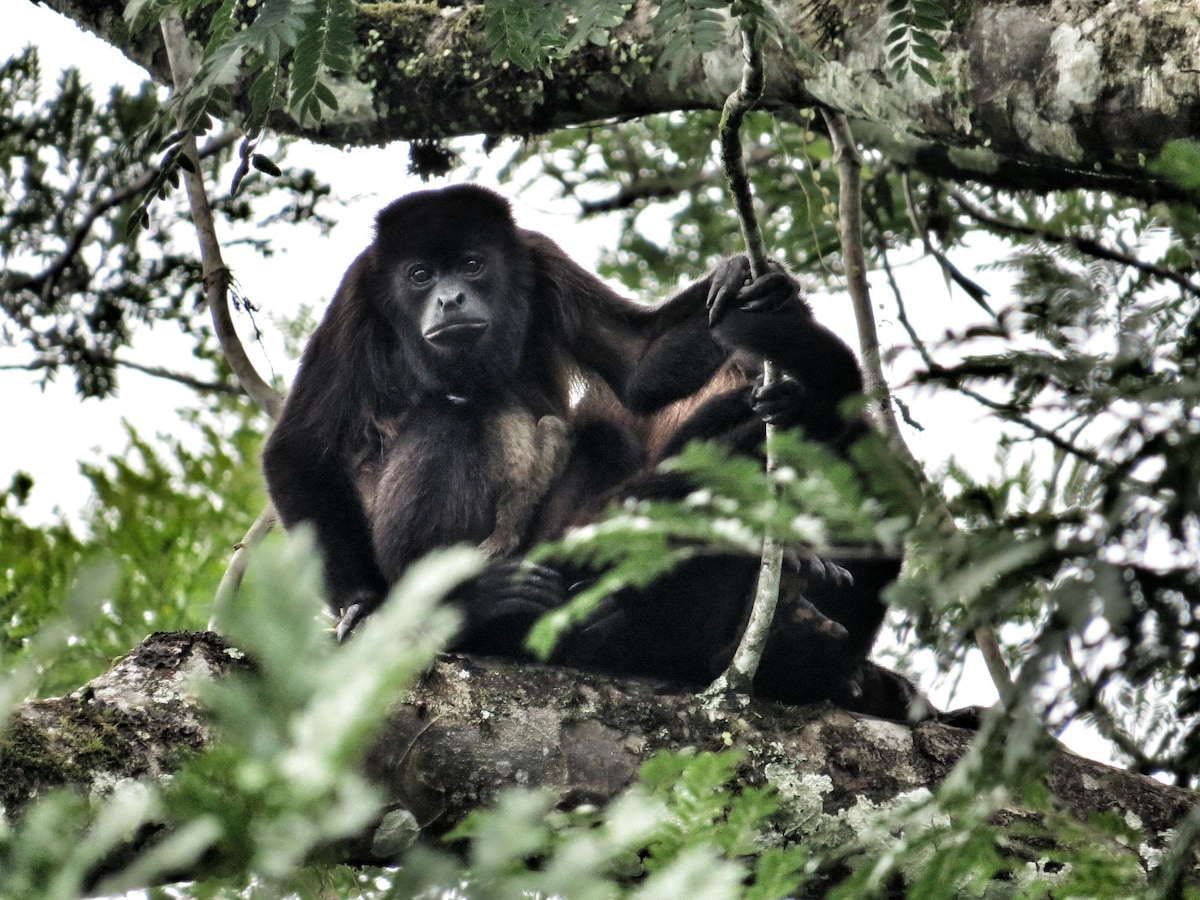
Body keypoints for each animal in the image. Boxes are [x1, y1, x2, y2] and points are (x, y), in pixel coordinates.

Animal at [260, 184, 902, 720]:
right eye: (419, 275)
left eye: (472, 264)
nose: (449, 298)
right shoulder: (359, 293)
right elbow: (300, 446)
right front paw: (363, 607)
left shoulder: (540, 260)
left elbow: (638, 364)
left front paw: (749, 279)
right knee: (450, 415)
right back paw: (475, 610)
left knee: (602, 440)